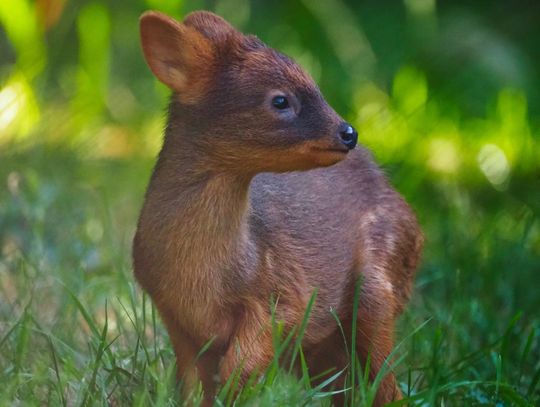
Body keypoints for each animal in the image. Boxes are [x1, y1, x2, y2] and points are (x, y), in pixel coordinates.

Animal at [133, 10, 424, 407]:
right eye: (281, 101)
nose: (349, 133)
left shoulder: (285, 296)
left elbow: (239, 367)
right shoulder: (173, 315)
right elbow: (192, 386)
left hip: (377, 284)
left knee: (384, 383)